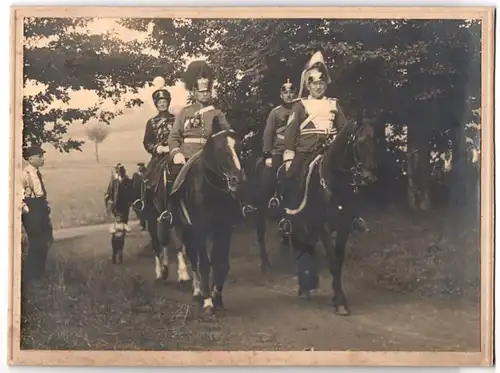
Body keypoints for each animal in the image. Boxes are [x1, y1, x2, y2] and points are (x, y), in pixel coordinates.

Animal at [169, 118, 245, 314]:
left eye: (239, 147)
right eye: (220, 149)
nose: (238, 180)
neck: (212, 190)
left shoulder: (224, 228)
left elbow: (221, 262)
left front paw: (217, 297)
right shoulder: (200, 229)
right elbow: (204, 263)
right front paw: (208, 301)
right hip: (184, 228)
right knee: (192, 257)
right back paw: (197, 291)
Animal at [282, 119, 376, 314]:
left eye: (374, 141)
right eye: (361, 141)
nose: (369, 177)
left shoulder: (343, 225)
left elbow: (338, 261)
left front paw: (337, 297)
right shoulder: (323, 227)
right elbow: (332, 261)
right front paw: (339, 302)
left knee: (308, 248)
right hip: (299, 224)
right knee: (301, 248)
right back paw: (304, 287)